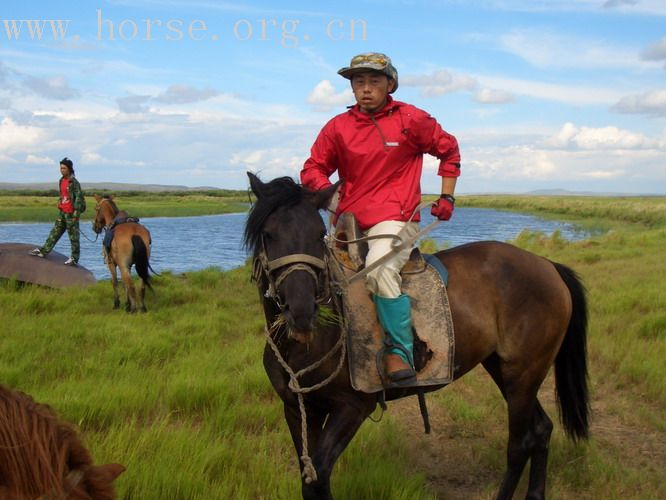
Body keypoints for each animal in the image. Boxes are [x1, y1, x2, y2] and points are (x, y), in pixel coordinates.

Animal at [243, 173, 588, 500]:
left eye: (318, 234)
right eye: (268, 234)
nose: (301, 311)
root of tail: (546, 265)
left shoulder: (353, 408)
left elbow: (318, 479)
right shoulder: (299, 410)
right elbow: (310, 479)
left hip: (523, 375)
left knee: (520, 444)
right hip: (505, 370)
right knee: (541, 429)